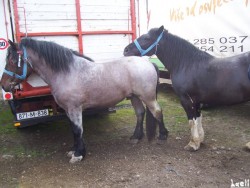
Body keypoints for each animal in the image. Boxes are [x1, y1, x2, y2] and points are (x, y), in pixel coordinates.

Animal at [0, 38, 168, 163]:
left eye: (13, 60)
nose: (4, 85)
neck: (66, 72)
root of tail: (148, 63)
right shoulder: (68, 110)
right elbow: (74, 130)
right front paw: (74, 150)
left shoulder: (74, 108)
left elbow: (77, 130)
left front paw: (78, 154)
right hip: (134, 97)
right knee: (140, 113)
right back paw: (136, 137)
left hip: (147, 97)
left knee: (157, 111)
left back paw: (162, 136)